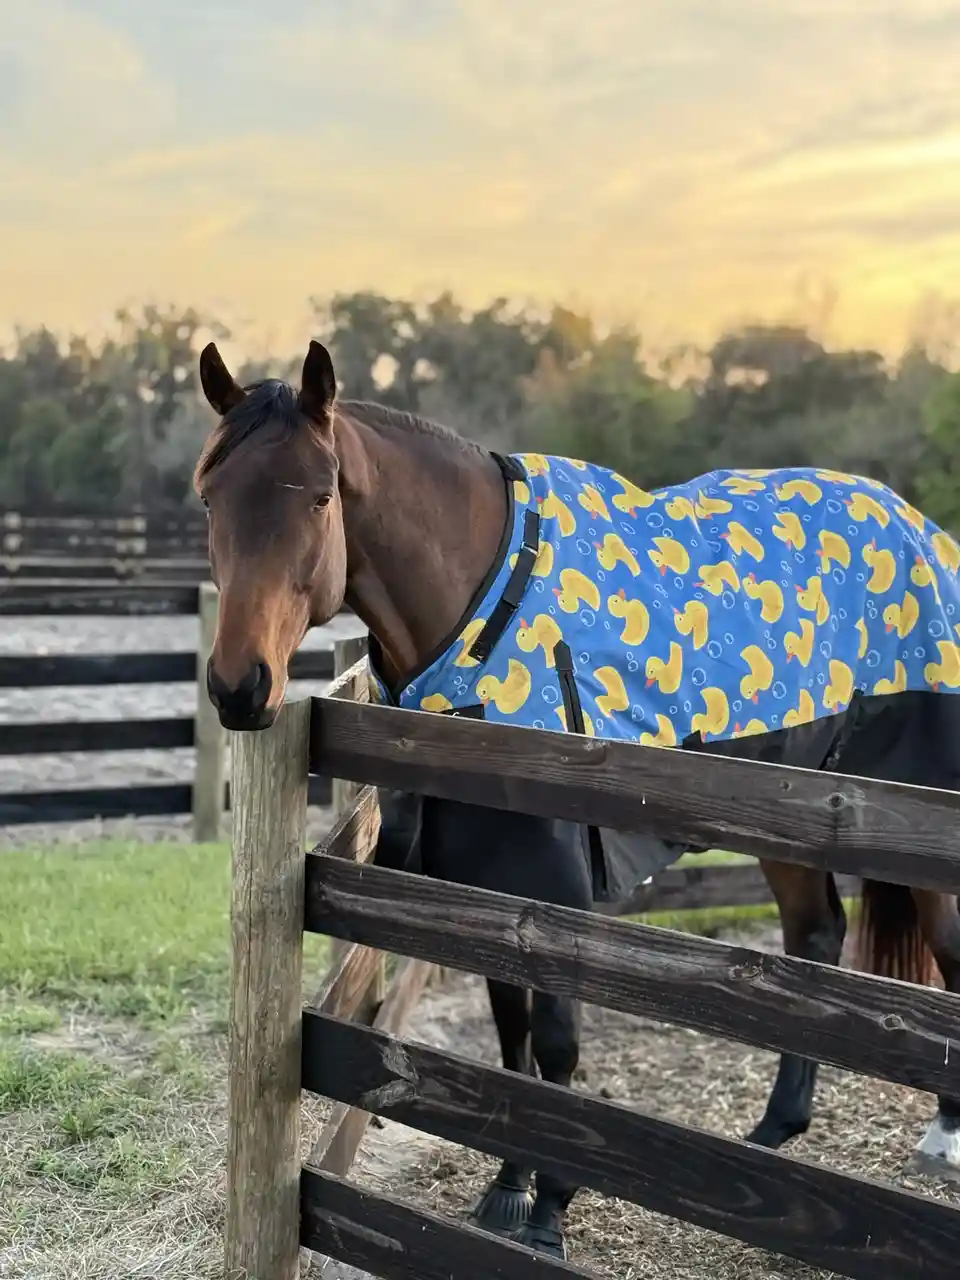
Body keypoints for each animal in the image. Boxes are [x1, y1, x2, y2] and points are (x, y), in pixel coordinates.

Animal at [195, 338, 960, 1261]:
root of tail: (924, 531)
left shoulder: (553, 892)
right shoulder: (489, 887)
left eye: (319, 494)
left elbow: (557, 1050)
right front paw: (507, 1188)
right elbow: (512, 1041)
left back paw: (943, 1133)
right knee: (815, 936)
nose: (240, 687)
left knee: (946, 948)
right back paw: (778, 1128)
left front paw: (551, 1208)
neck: (487, 614)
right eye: (209, 496)